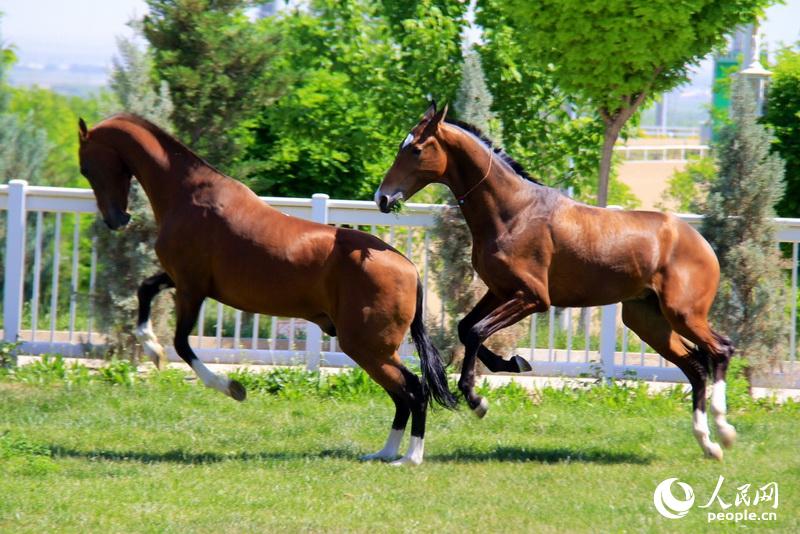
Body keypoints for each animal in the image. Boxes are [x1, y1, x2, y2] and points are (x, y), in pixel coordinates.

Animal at [81, 115, 460, 466]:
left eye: (86, 167)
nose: (116, 219)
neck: (188, 195)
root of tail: (408, 267)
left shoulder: (190, 288)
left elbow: (182, 344)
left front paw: (232, 388)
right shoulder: (182, 279)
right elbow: (145, 291)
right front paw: (152, 348)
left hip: (368, 347)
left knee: (413, 390)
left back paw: (409, 457)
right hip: (372, 349)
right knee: (402, 394)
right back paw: (385, 452)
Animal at [376, 103, 736, 460]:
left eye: (416, 149)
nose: (382, 198)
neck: (513, 213)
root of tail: (701, 243)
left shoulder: (533, 298)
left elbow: (477, 331)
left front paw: (477, 399)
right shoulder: (500, 290)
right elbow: (466, 328)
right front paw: (512, 363)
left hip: (682, 314)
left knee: (721, 350)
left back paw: (724, 431)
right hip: (648, 321)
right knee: (695, 366)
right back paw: (707, 443)